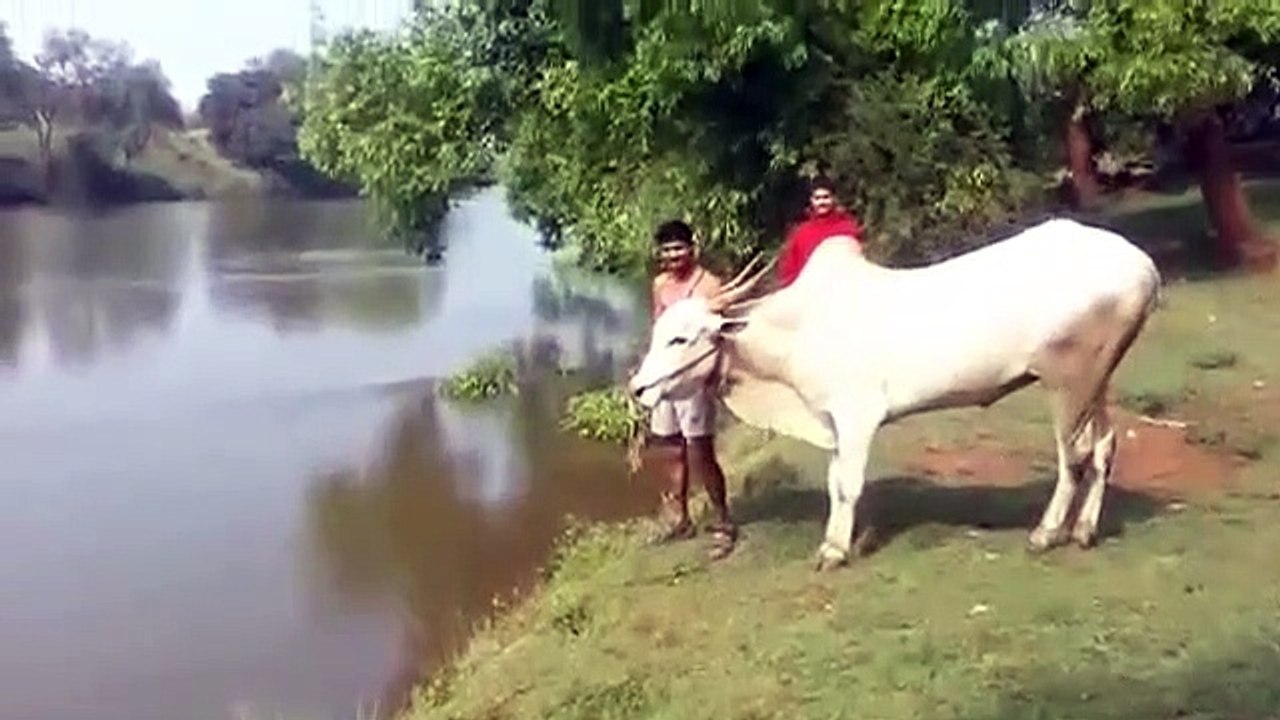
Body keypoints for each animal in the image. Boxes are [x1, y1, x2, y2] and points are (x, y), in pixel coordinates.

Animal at [627, 218, 1163, 571]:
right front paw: (835, 540)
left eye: (681, 338)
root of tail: (1144, 265)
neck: (799, 332)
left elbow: (848, 485)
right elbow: (834, 483)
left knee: (1073, 456)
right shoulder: (832, 422)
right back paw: (1085, 530)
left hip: (1068, 381)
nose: (637, 387)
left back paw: (1047, 533)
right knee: (1104, 445)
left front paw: (835, 551)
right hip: (1096, 381)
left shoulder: (857, 417)